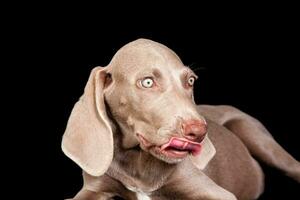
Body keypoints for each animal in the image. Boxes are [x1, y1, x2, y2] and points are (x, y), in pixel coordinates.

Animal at [61, 38, 300, 199]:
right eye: (147, 82)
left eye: (191, 81)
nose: (199, 131)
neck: (137, 162)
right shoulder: (94, 188)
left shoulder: (216, 193)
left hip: (253, 133)